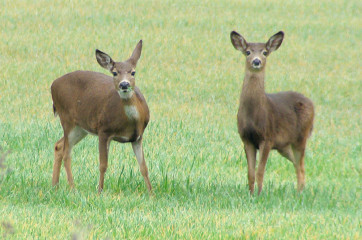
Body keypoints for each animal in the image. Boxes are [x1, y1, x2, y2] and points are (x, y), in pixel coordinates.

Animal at [50, 39, 152, 193]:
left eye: (133, 72)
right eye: (114, 73)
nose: (124, 84)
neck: (131, 121)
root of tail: (53, 85)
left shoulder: (138, 137)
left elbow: (144, 167)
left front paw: (151, 193)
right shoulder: (104, 130)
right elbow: (103, 165)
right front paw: (99, 191)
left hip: (81, 127)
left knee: (59, 146)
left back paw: (54, 186)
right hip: (67, 119)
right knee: (67, 153)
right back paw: (72, 188)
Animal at [232, 30, 314, 195]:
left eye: (265, 52)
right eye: (248, 52)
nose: (256, 61)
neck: (253, 115)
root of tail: (312, 104)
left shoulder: (268, 137)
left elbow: (260, 171)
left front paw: (258, 194)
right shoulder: (246, 138)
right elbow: (250, 172)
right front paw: (250, 194)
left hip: (301, 137)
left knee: (301, 166)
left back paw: (299, 194)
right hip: (284, 145)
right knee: (297, 165)